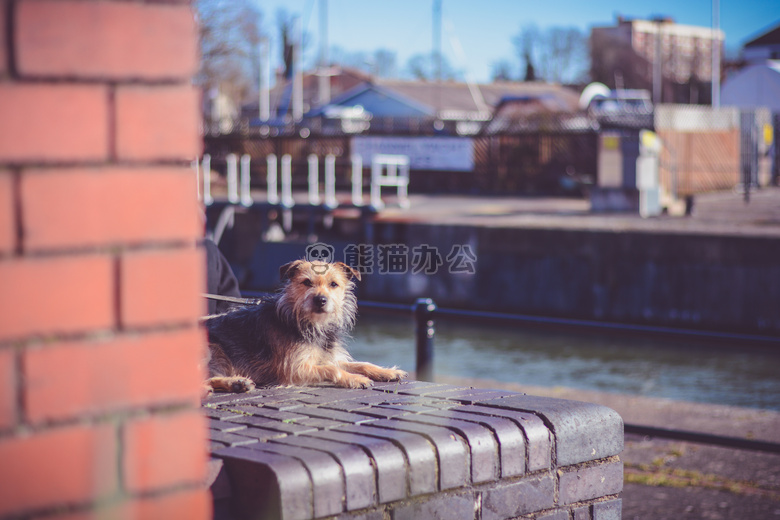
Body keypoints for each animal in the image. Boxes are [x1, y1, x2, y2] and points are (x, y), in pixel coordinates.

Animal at [201, 258, 408, 392]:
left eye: (334, 284)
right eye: (307, 282)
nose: (320, 300)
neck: (313, 325)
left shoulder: (328, 357)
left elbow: (360, 364)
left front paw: (387, 372)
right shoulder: (295, 369)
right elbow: (333, 369)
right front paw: (354, 378)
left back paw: (237, 383)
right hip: (212, 349)